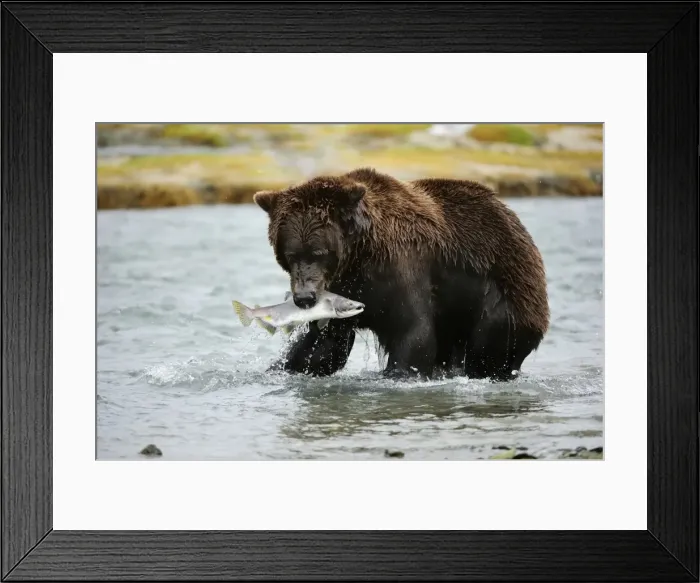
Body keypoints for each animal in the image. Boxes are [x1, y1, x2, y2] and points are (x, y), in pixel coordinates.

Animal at [253, 167, 549, 380]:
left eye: (319, 252)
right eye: (290, 254)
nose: (304, 298)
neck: (358, 257)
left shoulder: (401, 266)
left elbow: (413, 331)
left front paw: (399, 374)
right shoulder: (344, 290)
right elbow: (324, 346)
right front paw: (281, 368)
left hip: (503, 295)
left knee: (489, 348)